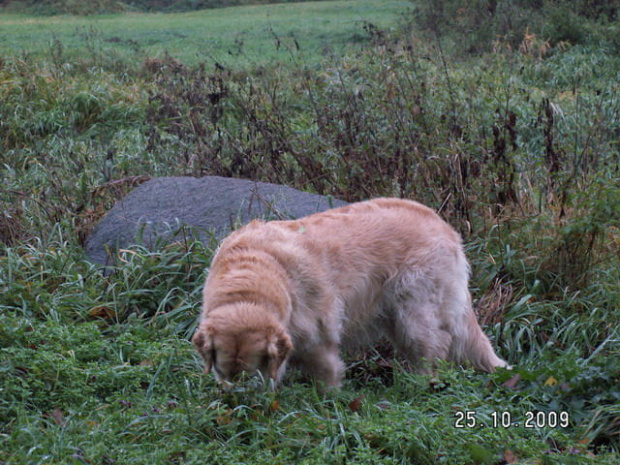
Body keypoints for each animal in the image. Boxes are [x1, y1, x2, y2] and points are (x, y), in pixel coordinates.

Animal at [194, 197, 508, 388]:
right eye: (222, 371)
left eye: (251, 369)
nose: (239, 401)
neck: (250, 275)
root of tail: (444, 225)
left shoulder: (316, 335)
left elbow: (327, 373)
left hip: (415, 305)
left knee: (433, 345)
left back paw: (417, 384)